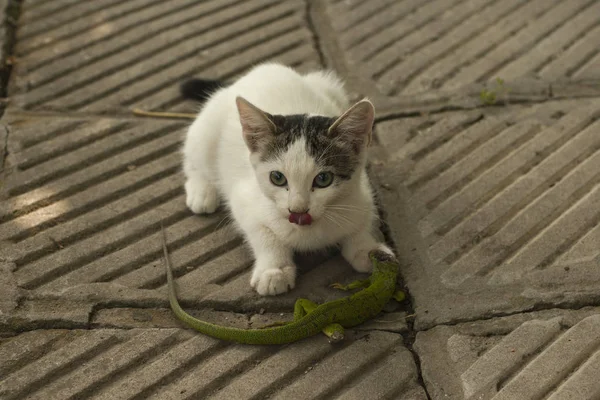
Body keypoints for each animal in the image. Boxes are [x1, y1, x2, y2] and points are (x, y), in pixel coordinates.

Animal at [179, 61, 394, 294]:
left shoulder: (363, 194)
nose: (298, 210)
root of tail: (260, 70)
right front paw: (274, 270)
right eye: (277, 178)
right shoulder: (244, 202)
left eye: (323, 179)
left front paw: (368, 250)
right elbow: (263, 233)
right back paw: (201, 191)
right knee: (192, 158)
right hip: (206, 131)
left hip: (331, 86)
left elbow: (362, 223)